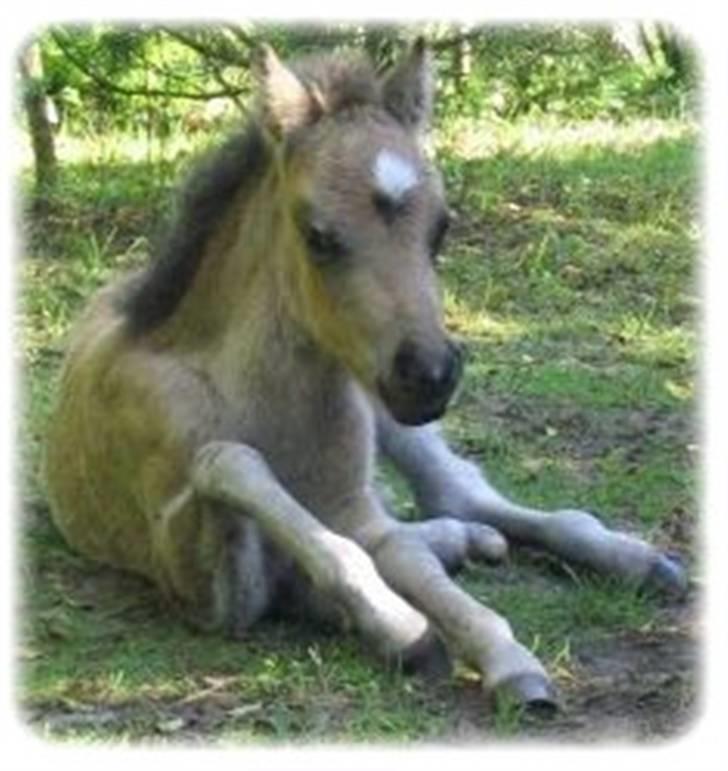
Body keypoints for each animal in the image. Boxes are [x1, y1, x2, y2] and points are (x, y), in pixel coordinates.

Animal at [45, 39, 686, 712]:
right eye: (318, 236)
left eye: (442, 226)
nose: (430, 375)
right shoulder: (207, 589)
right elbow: (240, 468)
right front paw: (405, 631)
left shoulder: (355, 508)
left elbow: (402, 558)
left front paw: (508, 660)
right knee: (438, 516)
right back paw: (465, 541)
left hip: (391, 415)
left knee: (460, 490)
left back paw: (636, 560)